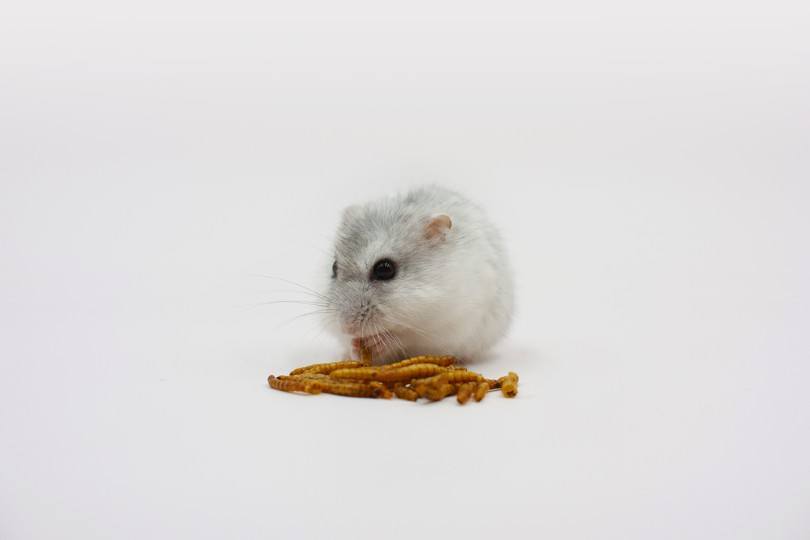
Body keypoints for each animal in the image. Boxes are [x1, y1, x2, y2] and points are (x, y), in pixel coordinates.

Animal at [324, 185, 514, 364]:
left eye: (384, 269)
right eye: (334, 267)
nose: (346, 327)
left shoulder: (444, 324)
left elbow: (403, 338)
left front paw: (377, 343)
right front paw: (353, 346)